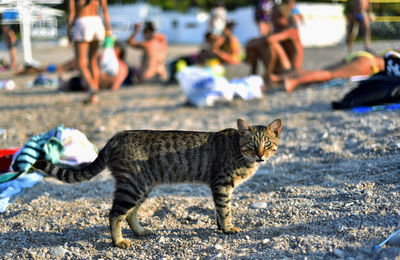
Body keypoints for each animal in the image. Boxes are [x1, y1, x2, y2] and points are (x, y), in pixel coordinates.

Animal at [33, 119, 282, 249]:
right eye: (251, 144)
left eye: (268, 144)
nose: (260, 155)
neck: (240, 154)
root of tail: (116, 137)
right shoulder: (221, 185)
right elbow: (225, 210)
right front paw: (228, 228)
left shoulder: (220, 187)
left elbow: (220, 213)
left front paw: (222, 228)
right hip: (132, 187)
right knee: (114, 214)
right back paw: (118, 241)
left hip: (142, 187)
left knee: (130, 214)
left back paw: (140, 231)